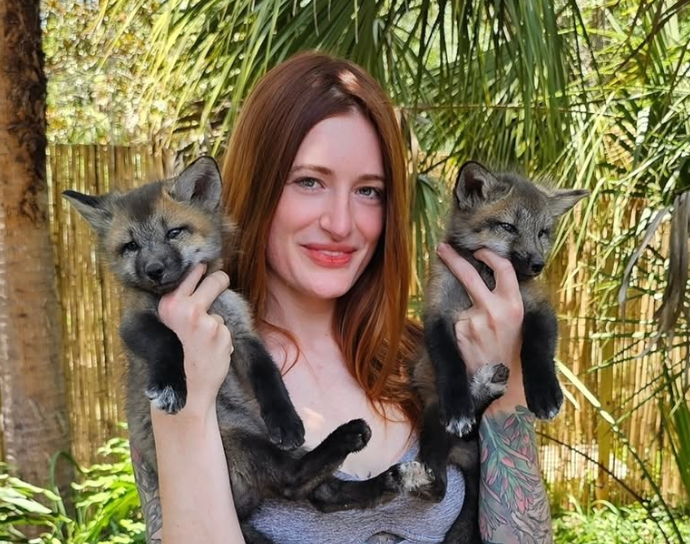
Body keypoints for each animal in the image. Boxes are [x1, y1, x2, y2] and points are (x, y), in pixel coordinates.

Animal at [63, 157, 431, 543]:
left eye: (174, 233)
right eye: (130, 246)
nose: (154, 270)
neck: (198, 303)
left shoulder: (241, 330)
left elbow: (268, 376)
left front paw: (286, 420)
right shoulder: (135, 323)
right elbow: (168, 342)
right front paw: (171, 386)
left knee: (322, 493)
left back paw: (385, 476)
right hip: (239, 441)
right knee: (294, 482)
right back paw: (355, 444)